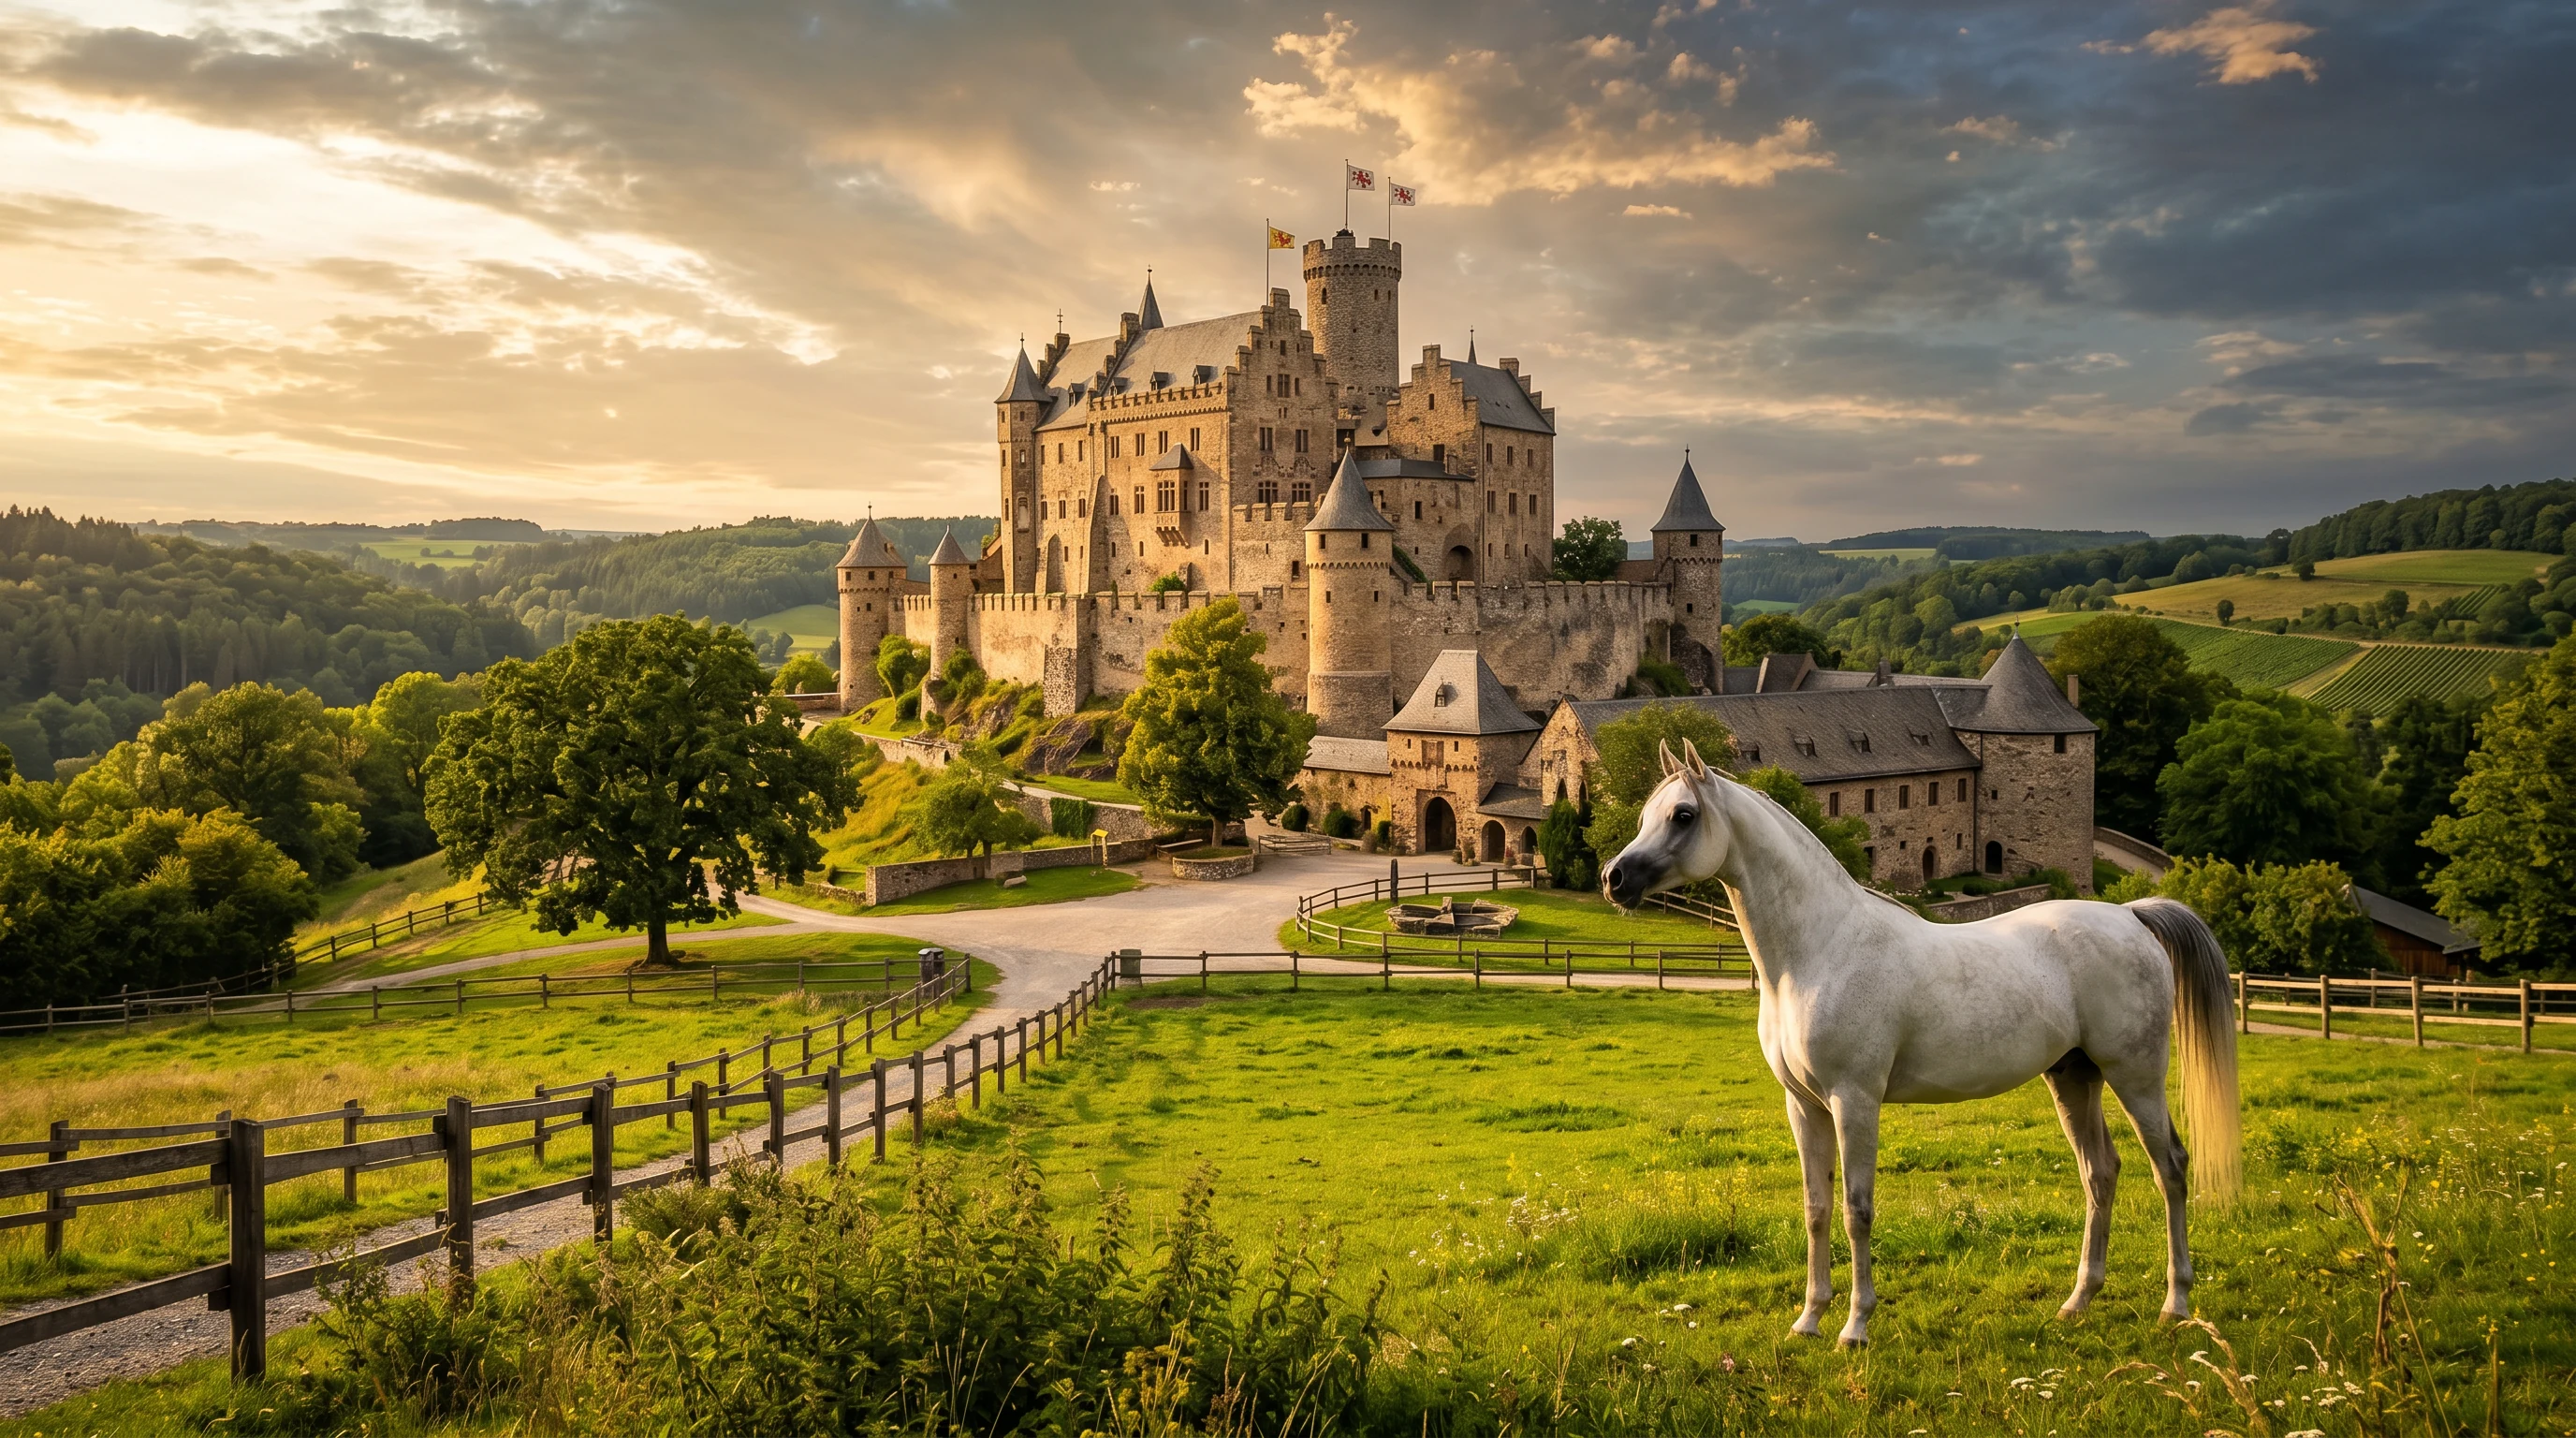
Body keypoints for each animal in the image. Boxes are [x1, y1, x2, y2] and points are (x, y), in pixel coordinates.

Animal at [1602, 739, 2239, 1348]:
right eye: (1644, 815)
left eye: (1683, 815)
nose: (1615, 879)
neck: (1821, 950)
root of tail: (2131, 915)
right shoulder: (1803, 1106)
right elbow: (1816, 1209)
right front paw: (1809, 1319)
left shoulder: (1854, 1102)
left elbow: (1857, 1211)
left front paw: (1855, 1326)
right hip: (2073, 1075)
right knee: (2100, 1172)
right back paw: (2078, 1301)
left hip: (2136, 1077)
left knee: (2170, 1168)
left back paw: (2176, 1303)